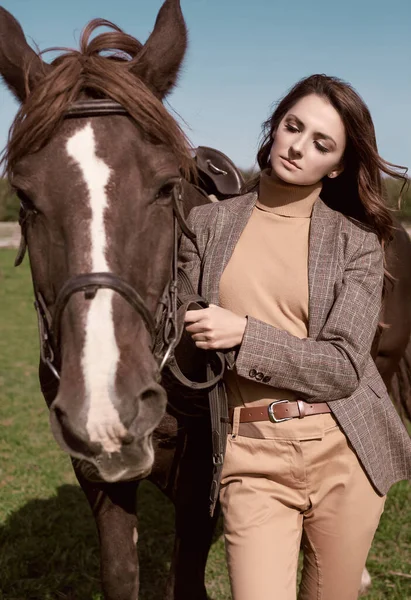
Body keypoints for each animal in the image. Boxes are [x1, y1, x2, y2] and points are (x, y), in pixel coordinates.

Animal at [0, 2, 411, 596]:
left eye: (165, 186)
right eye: (25, 196)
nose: (107, 405)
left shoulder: (203, 478)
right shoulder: (98, 475)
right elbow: (121, 574)